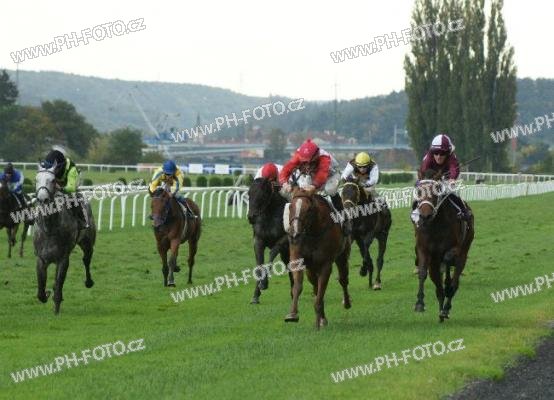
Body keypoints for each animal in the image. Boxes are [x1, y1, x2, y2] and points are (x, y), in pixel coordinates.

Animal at [34, 166, 96, 314]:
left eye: (52, 180)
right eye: (36, 179)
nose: (42, 199)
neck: (50, 227)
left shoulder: (63, 259)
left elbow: (59, 285)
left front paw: (56, 307)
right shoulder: (41, 259)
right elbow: (40, 291)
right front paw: (46, 293)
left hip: (87, 243)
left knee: (86, 260)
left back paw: (89, 282)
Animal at [285, 186, 351, 328]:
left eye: (308, 209)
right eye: (291, 207)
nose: (294, 234)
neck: (312, 232)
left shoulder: (326, 264)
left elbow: (321, 292)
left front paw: (317, 323)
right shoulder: (298, 259)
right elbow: (298, 286)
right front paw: (293, 314)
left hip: (342, 256)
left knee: (343, 279)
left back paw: (346, 302)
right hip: (311, 269)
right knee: (315, 286)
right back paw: (322, 317)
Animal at [413, 174, 474, 322]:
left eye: (436, 191)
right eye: (419, 192)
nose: (425, 216)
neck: (435, 224)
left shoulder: (455, 248)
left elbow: (448, 259)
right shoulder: (424, 249)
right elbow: (423, 273)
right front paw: (419, 303)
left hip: (465, 250)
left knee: (454, 281)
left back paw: (445, 308)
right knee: (438, 282)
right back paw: (441, 309)